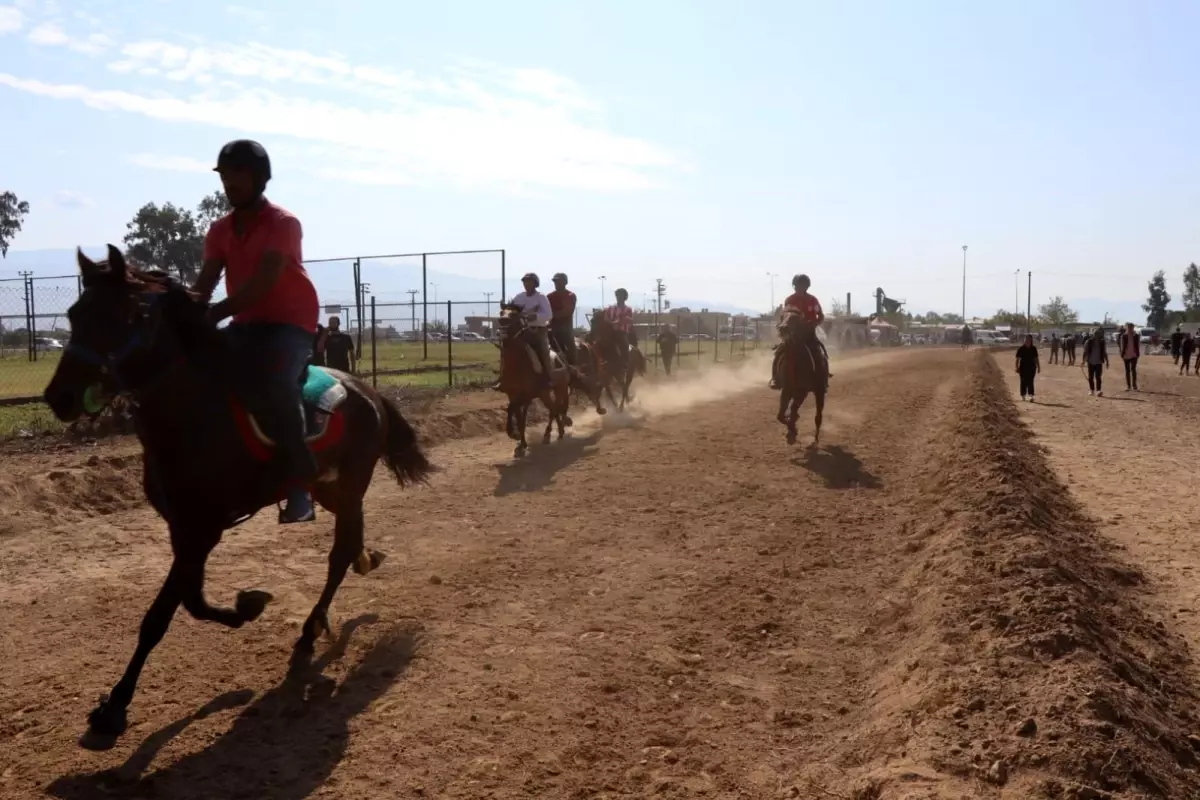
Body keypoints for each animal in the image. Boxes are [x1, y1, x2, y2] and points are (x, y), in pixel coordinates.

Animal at [43, 245, 436, 743]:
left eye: (126, 315)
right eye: (75, 313)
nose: (61, 397)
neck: (192, 413)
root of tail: (367, 391)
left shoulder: (203, 529)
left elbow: (163, 614)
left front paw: (115, 707)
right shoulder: (183, 529)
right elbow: (189, 601)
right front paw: (244, 608)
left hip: (348, 487)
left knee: (338, 556)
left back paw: (311, 629)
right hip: (330, 489)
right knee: (351, 542)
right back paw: (365, 562)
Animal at [494, 304, 573, 455]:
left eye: (513, 315)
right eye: (501, 312)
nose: (502, 323)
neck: (517, 365)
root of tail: (560, 357)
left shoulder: (526, 396)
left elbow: (512, 410)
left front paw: (514, 434)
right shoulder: (513, 394)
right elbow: (518, 417)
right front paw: (521, 443)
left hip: (559, 389)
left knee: (555, 409)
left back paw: (553, 433)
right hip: (545, 393)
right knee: (553, 409)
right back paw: (555, 433)